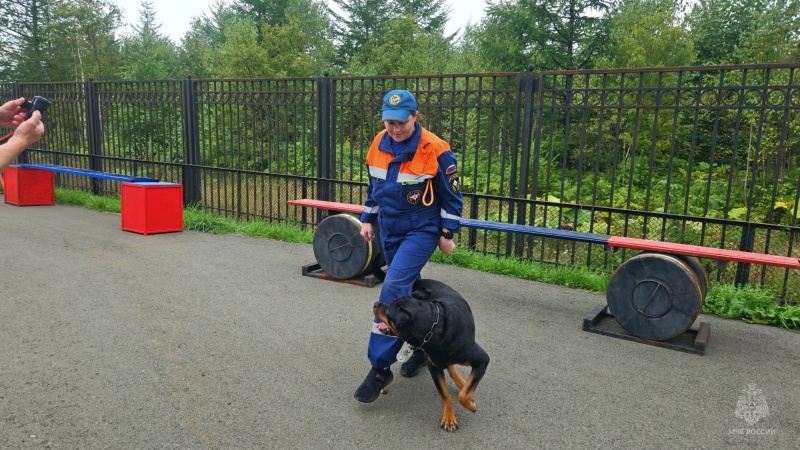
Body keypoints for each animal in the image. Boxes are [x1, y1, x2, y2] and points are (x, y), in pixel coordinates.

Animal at [374, 280, 490, 430]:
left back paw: (461, 382)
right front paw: (449, 417)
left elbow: (462, 395)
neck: (435, 327)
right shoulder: (434, 367)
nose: (376, 303)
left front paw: (471, 406)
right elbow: (444, 394)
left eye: (389, 311)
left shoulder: (482, 360)